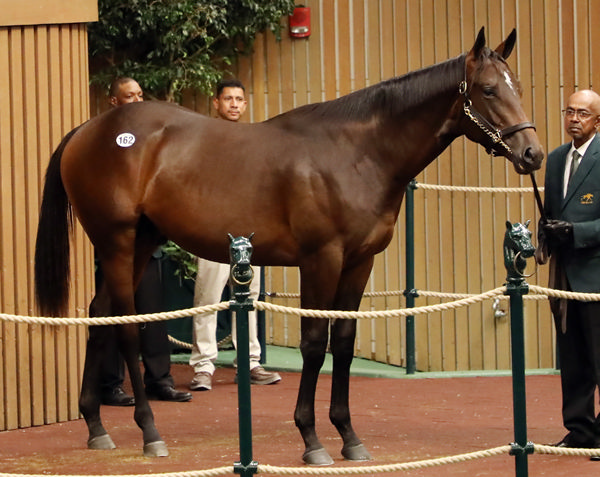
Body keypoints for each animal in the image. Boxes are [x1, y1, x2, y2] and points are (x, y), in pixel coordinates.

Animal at [36, 27, 544, 462]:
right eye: (489, 90)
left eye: (517, 86)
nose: (533, 154)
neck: (356, 154)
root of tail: (89, 129)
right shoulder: (321, 260)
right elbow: (315, 344)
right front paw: (311, 439)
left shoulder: (359, 263)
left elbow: (343, 342)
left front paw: (349, 437)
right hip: (117, 241)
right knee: (123, 325)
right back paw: (149, 431)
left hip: (142, 240)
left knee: (99, 314)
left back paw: (95, 426)